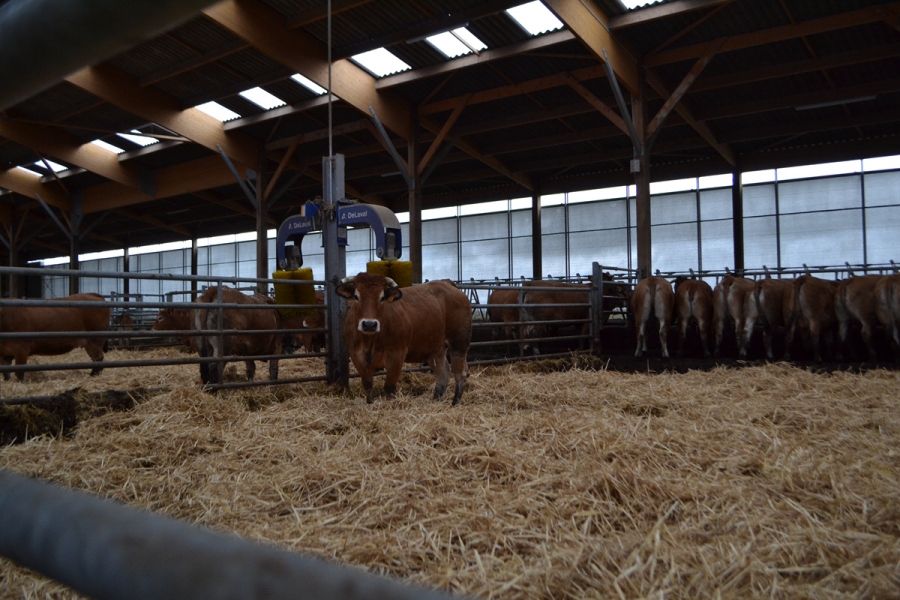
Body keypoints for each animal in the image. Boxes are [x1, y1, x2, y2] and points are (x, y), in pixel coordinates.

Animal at [336, 274, 472, 406]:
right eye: (356, 296)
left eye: (382, 297)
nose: (369, 324)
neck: (370, 341)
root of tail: (447, 284)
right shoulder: (356, 356)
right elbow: (368, 384)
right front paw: (370, 403)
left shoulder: (397, 356)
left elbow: (389, 387)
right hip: (436, 350)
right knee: (443, 373)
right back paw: (436, 399)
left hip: (458, 343)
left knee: (460, 372)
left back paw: (455, 401)